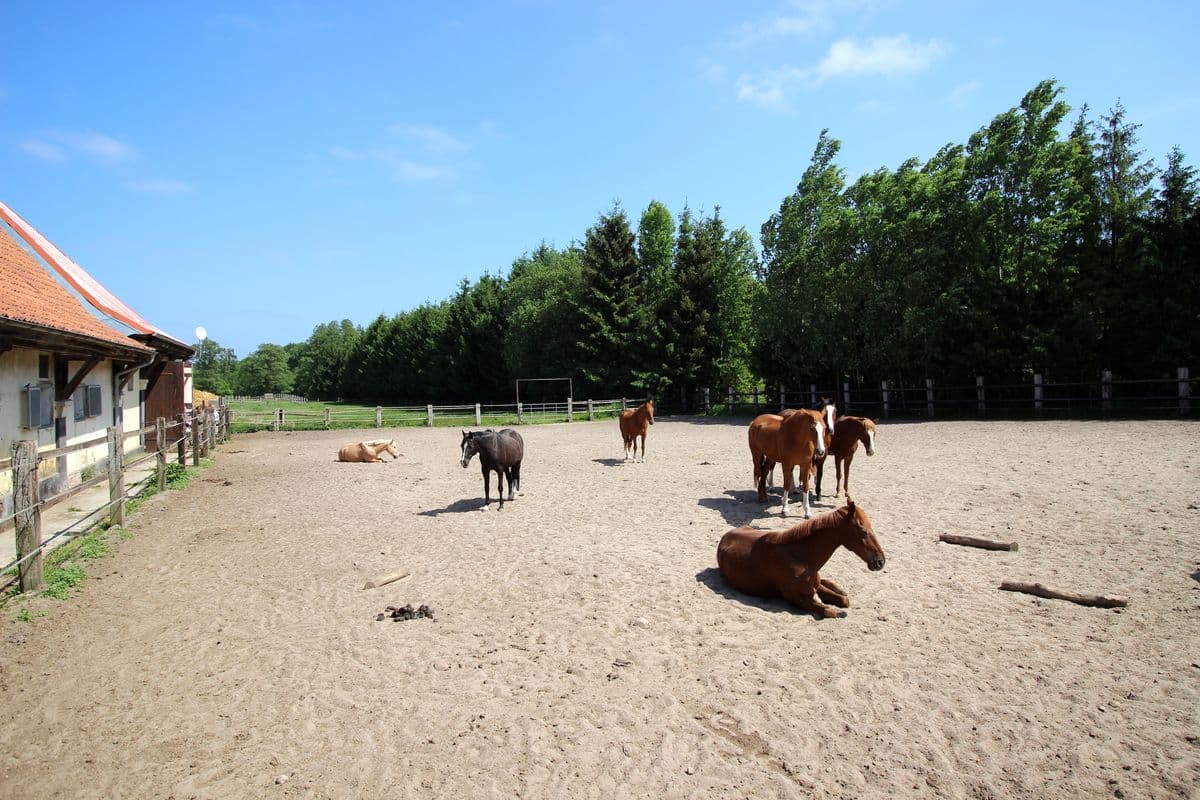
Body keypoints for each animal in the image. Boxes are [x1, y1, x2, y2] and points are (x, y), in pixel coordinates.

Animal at [715, 501, 888, 618]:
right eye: (863, 530)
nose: (880, 562)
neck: (802, 557)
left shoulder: (815, 585)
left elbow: (843, 600)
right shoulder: (794, 597)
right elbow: (829, 610)